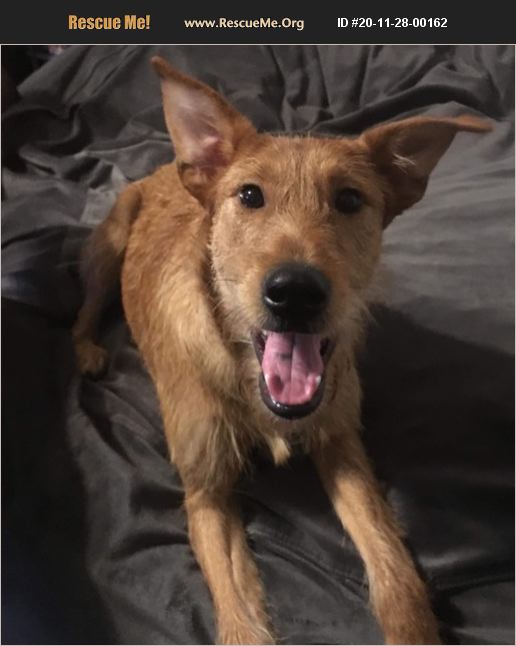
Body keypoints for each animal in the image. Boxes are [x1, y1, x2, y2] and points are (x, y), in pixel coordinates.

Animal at [72, 56, 490, 645]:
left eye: (349, 199)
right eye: (250, 195)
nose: (295, 292)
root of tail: (168, 167)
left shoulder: (341, 441)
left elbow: (394, 568)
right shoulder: (205, 493)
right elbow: (240, 618)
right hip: (108, 245)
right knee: (84, 308)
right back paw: (88, 348)